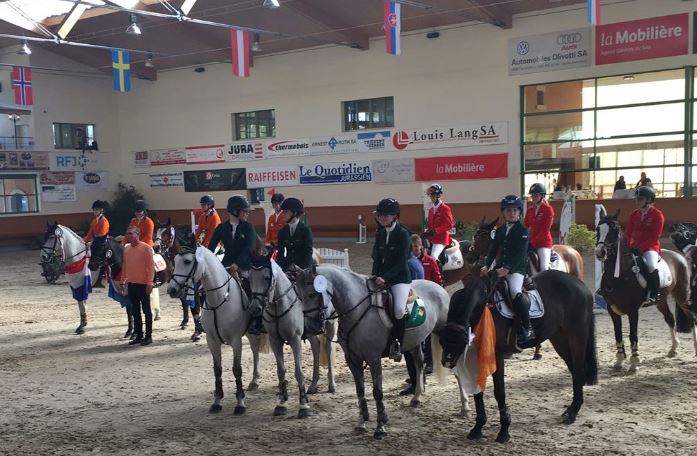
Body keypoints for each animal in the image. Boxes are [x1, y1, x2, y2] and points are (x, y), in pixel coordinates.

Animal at [292, 266, 446, 440]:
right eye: (299, 296)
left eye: (312, 294)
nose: (310, 327)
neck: (356, 310)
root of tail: (438, 286)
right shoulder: (352, 359)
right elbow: (360, 390)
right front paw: (362, 422)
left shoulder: (374, 358)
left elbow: (377, 392)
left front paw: (380, 427)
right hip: (414, 341)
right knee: (419, 362)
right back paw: (416, 398)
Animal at [440, 272, 600, 444]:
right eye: (442, 341)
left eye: (459, 342)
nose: (447, 361)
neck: (482, 308)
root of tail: (580, 284)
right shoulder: (475, 357)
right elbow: (478, 392)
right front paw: (477, 428)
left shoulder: (496, 356)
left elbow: (499, 392)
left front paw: (504, 431)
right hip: (559, 339)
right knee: (574, 371)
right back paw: (570, 411)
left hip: (577, 337)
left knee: (578, 371)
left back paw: (572, 413)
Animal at [592, 210, 696, 374]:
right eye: (597, 229)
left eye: (614, 230)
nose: (600, 252)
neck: (619, 275)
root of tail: (680, 256)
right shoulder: (612, 310)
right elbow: (618, 334)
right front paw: (619, 361)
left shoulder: (633, 310)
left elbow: (633, 335)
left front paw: (634, 363)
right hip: (661, 300)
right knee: (670, 318)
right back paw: (673, 349)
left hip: (682, 296)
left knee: (692, 317)